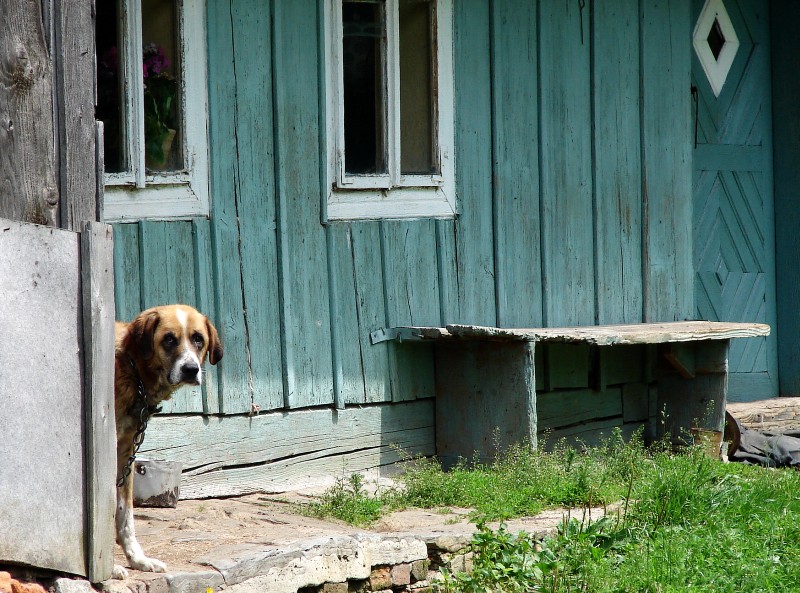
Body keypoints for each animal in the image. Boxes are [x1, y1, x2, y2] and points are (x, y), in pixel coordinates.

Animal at [112, 302, 222, 576]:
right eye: (169, 339)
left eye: (198, 339)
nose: (191, 370)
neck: (131, 367)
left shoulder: (125, 455)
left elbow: (125, 513)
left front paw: (138, 560)